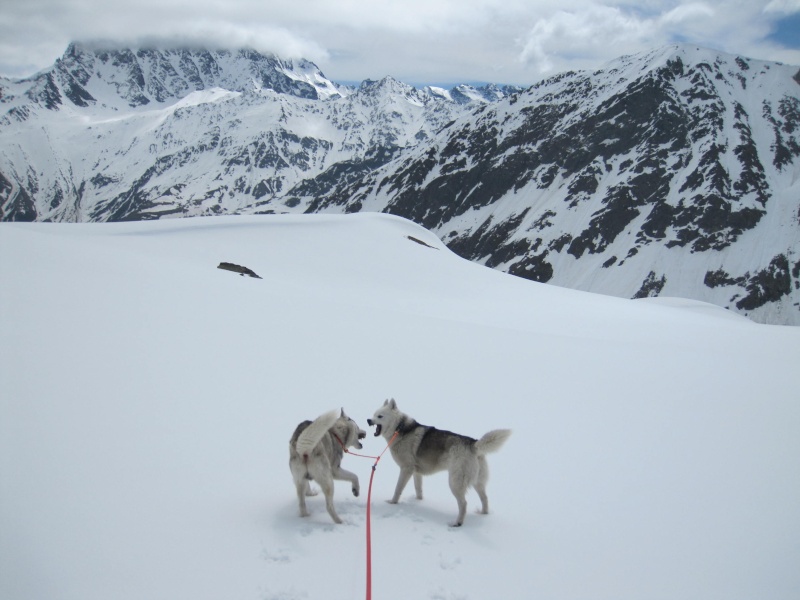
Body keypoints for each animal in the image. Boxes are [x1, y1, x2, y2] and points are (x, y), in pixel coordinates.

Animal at [368, 400, 512, 528]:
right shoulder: (416, 472)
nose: (368, 420)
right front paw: (418, 502)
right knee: (485, 498)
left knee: (464, 503)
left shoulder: (406, 469)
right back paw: (483, 514)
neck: (400, 428)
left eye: (380, 416)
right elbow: (418, 489)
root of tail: (473, 444)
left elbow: (398, 489)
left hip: (455, 482)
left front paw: (392, 502)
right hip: (478, 482)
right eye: (373, 414)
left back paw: (457, 523)